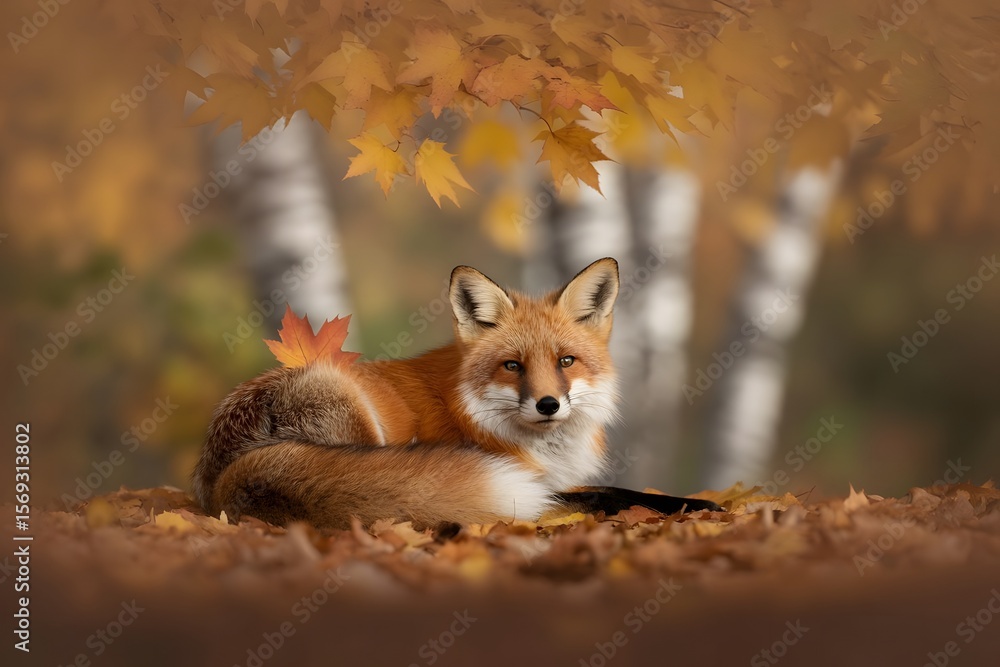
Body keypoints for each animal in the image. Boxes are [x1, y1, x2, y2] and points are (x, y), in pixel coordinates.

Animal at [193, 257, 721, 530]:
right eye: (513, 366)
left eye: (566, 362)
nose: (548, 404)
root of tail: (217, 474)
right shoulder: (529, 481)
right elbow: (602, 496)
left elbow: (616, 489)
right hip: (356, 415)